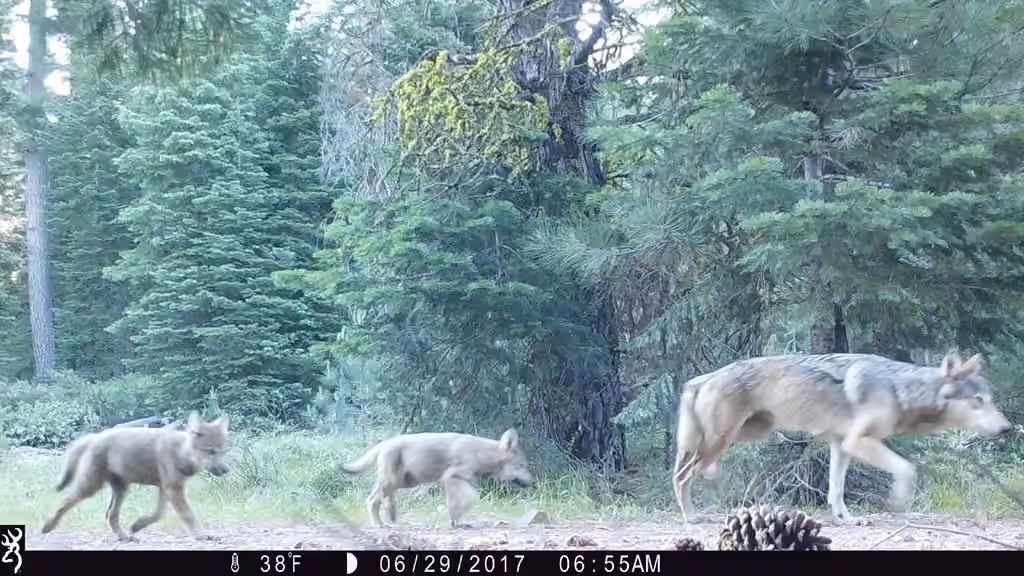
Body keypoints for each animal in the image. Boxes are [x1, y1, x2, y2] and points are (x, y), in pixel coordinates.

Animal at [41, 411, 230, 542]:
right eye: (211, 451)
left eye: (223, 451)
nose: (226, 470)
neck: (180, 452)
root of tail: (95, 436)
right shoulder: (173, 490)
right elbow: (189, 515)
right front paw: (202, 535)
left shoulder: (166, 489)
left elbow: (158, 514)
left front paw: (137, 525)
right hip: (91, 487)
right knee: (63, 502)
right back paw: (47, 527)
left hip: (121, 489)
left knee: (110, 515)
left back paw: (125, 537)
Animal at [341, 428, 535, 528]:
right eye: (522, 466)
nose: (533, 482)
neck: (482, 454)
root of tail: (385, 443)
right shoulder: (450, 477)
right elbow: (469, 499)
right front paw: (455, 521)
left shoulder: (459, 481)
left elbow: (460, 502)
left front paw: (456, 521)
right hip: (392, 482)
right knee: (372, 500)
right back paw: (379, 524)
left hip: (403, 483)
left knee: (385, 498)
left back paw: (391, 518)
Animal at [672, 350, 1012, 523]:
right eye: (978, 401)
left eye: (992, 400)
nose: (1008, 429)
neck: (900, 390)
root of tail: (701, 379)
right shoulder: (858, 442)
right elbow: (907, 468)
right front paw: (897, 502)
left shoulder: (841, 444)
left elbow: (835, 489)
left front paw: (844, 518)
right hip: (723, 439)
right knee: (681, 477)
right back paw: (691, 516)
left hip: (745, 434)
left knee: (693, 469)